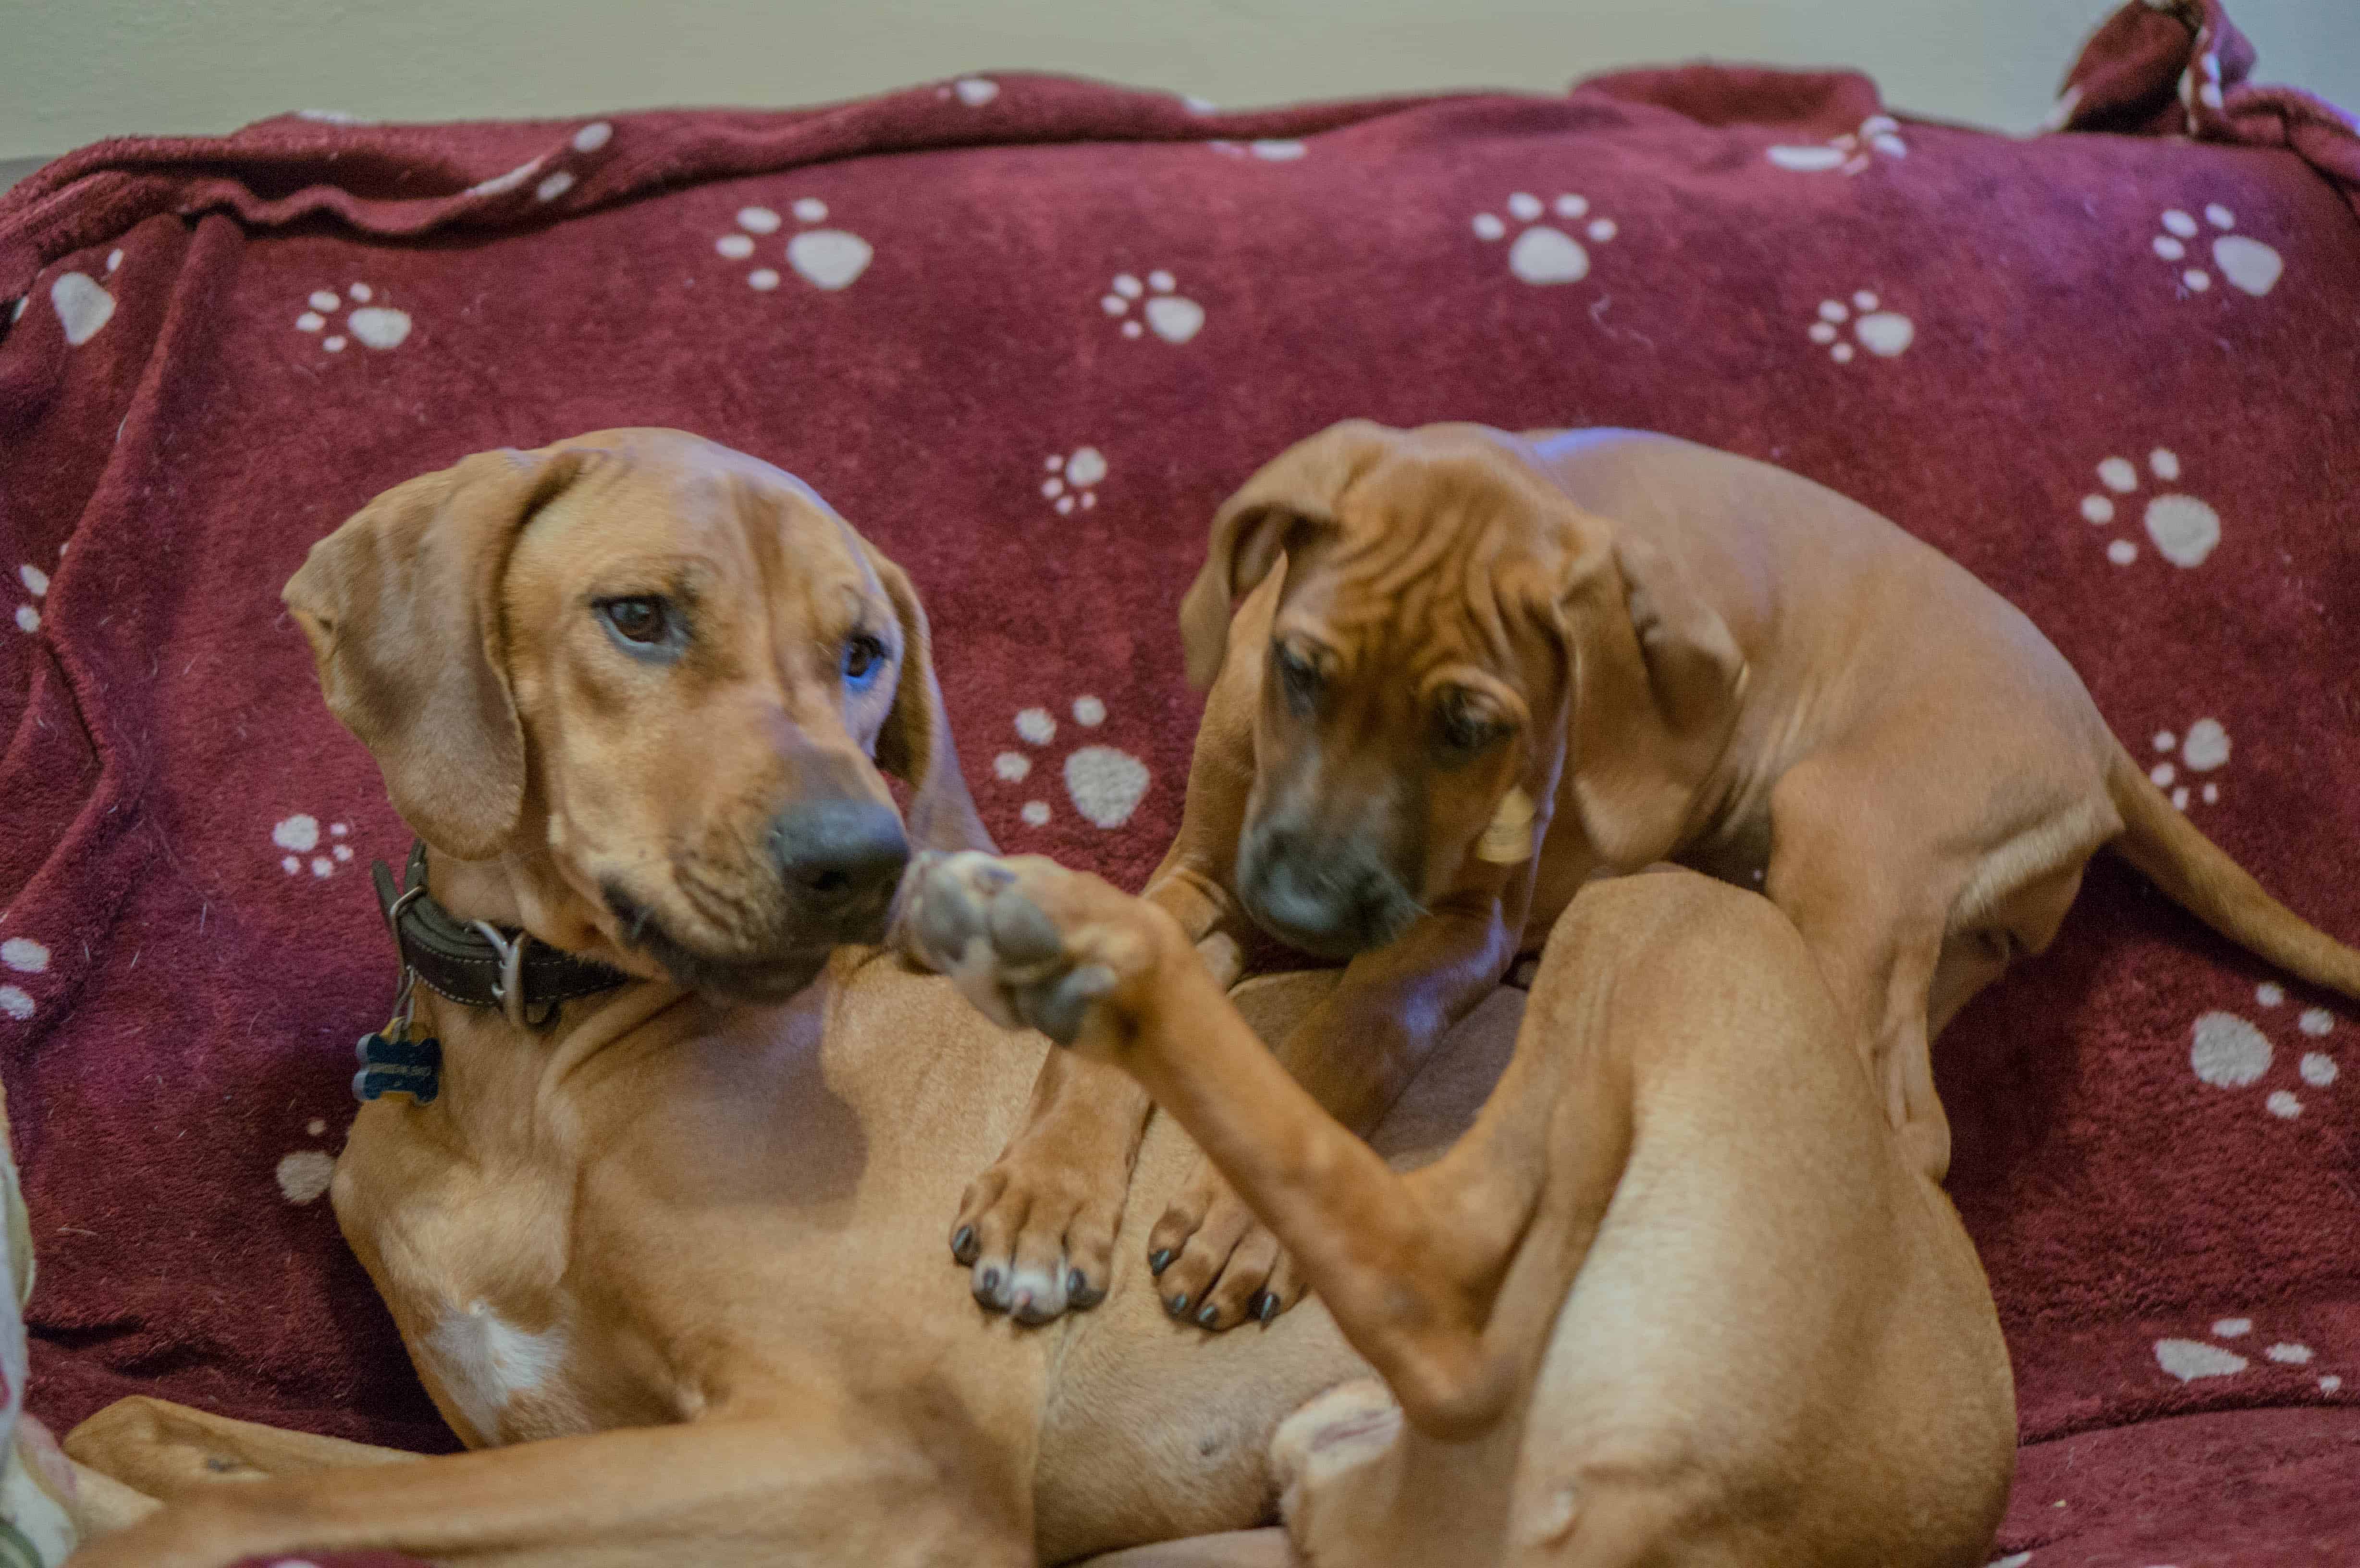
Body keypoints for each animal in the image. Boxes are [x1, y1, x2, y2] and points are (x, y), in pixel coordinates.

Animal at [958, 416, 2360, 1322]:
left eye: (1468, 728)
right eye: (1299, 671)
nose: (1299, 911)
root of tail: (2098, 729)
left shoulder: (1449, 932)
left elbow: (1345, 1040)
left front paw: (1252, 1214)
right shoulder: (1204, 881)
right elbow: (1097, 1032)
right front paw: (1043, 1204)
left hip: (1844, 830)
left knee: (1897, 1124)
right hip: (1927, 916)